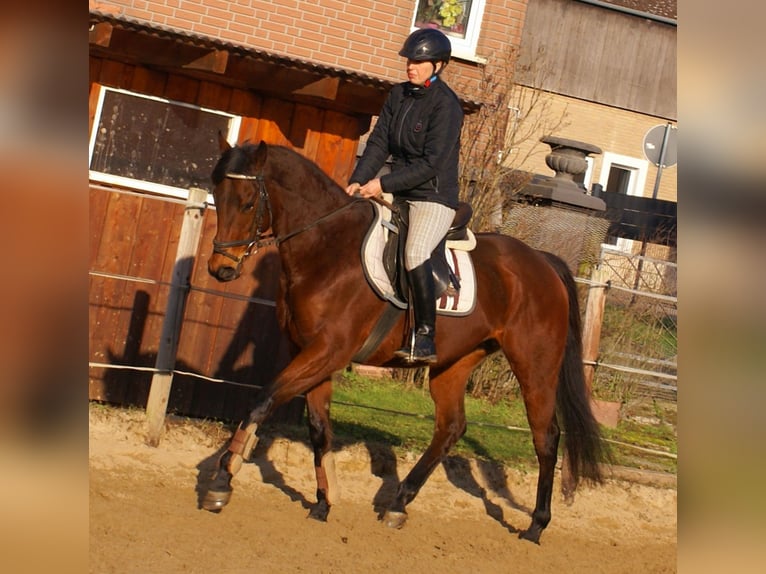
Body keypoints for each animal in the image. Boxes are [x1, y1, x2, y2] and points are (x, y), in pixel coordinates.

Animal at [204, 135, 608, 544]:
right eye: (217, 194)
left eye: (248, 202)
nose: (220, 270)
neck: (326, 249)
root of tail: (542, 261)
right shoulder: (307, 351)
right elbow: (318, 427)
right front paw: (323, 502)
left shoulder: (328, 352)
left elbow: (263, 400)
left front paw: (222, 480)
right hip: (454, 362)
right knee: (451, 428)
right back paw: (398, 504)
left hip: (535, 365)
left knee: (546, 436)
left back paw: (536, 525)